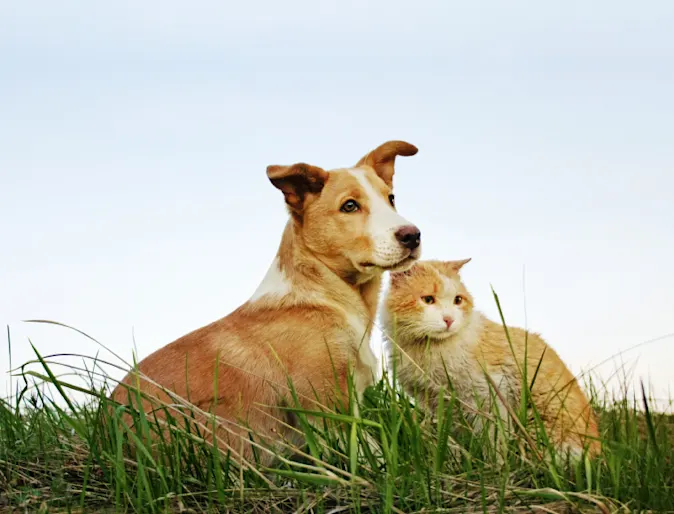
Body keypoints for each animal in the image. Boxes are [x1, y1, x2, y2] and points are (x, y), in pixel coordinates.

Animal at [111, 140, 420, 464]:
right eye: (349, 206)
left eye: (391, 199)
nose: (413, 235)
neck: (323, 291)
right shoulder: (328, 408)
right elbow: (368, 457)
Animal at [378, 260, 600, 456]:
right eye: (428, 299)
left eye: (458, 300)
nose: (449, 320)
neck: (427, 348)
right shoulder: (437, 402)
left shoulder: (491, 394)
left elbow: (494, 441)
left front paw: (495, 465)